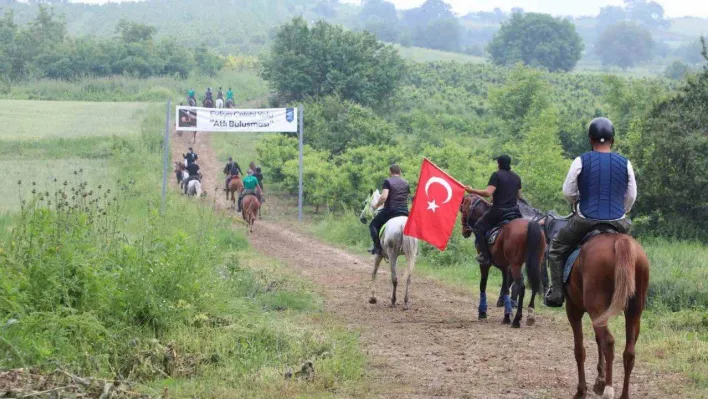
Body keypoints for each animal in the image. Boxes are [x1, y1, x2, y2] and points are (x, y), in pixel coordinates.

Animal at [460, 194, 548, 328]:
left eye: (463, 210)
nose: (464, 231)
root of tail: (530, 225)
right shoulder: (505, 267)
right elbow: (506, 288)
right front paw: (507, 315)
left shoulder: (485, 265)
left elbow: (483, 285)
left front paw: (482, 312)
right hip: (535, 263)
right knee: (534, 285)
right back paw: (530, 316)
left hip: (516, 265)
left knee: (521, 286)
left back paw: (517, 319)